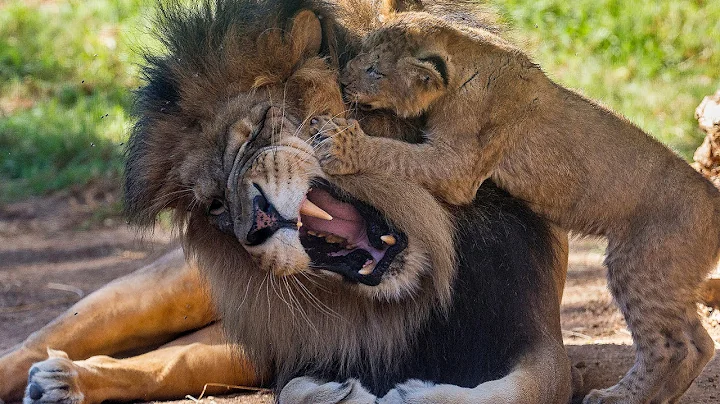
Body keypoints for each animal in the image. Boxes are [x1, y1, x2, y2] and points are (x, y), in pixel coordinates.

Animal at [0, 1, 572, 402]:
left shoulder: (535, 331)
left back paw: (63, 381)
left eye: (255, 132)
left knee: (170, 362)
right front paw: (336, 395)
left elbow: (532, 388)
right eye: (213, 206)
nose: (253, 223)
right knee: (34, 344)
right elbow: (294, 389)